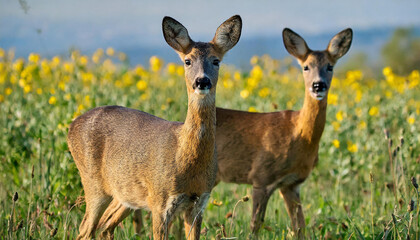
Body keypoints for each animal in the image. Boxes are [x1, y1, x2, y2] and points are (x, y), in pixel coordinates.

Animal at [67, 15, 241, 240]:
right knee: (85, 229)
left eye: (216, 61)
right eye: (187, 61)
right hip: (93, 183)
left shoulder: (198, 203)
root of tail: (71, 125)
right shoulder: (160, 201)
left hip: (126, 194)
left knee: (105, 225)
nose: (202, 81)